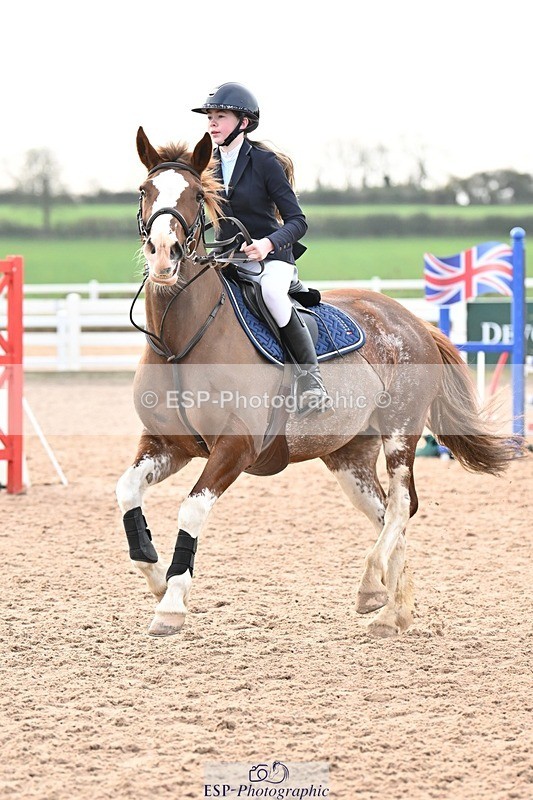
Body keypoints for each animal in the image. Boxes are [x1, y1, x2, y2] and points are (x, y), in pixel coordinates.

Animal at [116, 126, 516, 638]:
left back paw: (370, 588)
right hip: (348, 455)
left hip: (400, 432)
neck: (180, 343)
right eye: (144, 191)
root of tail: (413, 322)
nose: (162, 255)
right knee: (385, 511)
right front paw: (153, 575)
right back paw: (394, 610)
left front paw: (171, 603)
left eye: (194, 197)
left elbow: (192, 508)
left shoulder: (235, 446)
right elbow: (127, 492)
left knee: (400, 504)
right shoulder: (168, 443)